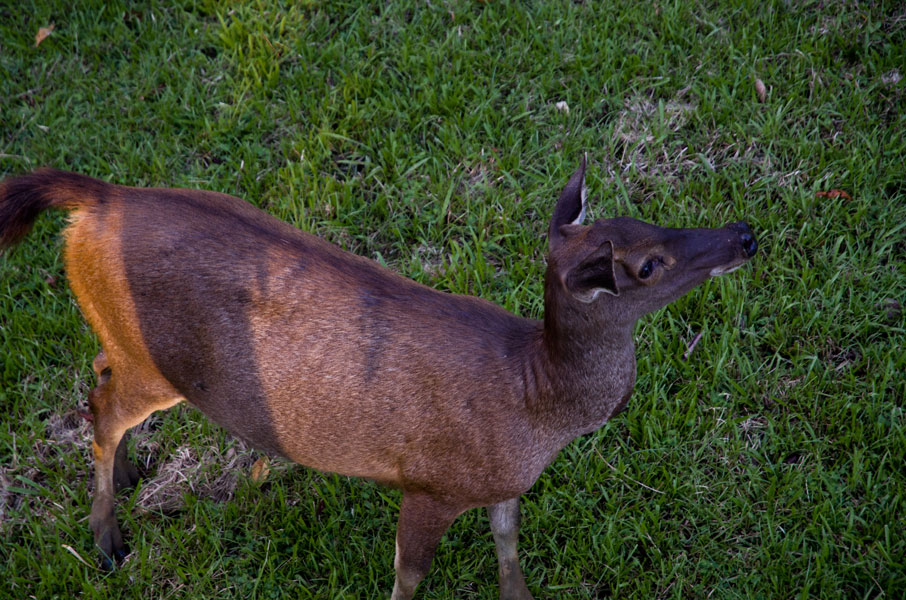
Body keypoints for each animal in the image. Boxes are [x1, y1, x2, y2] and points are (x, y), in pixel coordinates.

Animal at [0, 158, 756, 600]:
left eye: (648, 218)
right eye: (648, 266)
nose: (744, 234)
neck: (534, 401)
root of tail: (98, 198)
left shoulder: (500, 483)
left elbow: (508, 547)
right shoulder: (431, 481)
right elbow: (409, 576)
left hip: (127, 346)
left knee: (97, 371)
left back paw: (131, 476)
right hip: (158, 361)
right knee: (100, 410)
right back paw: (106, 540)